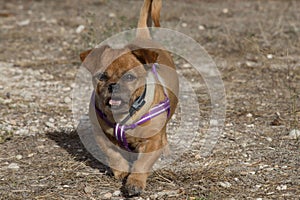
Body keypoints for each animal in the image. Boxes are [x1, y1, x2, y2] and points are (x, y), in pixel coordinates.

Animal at [79, 0, 178, 197]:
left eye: (130, 77)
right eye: (101, 76)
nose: (113, 85)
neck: (124, 116)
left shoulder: (151, 142)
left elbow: (141, 164)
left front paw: (135, 183)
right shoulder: (102, 137)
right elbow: (114, 155)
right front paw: (121, 171)